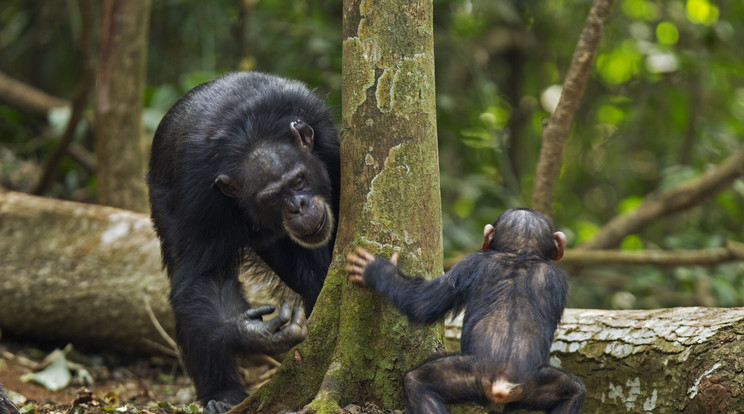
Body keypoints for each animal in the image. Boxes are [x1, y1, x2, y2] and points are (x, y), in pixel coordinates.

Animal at [147, 72, 338, 414]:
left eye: (298, 181)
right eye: (272, 198)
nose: (298, 206)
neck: (250, 133)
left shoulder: (331, 146)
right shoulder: (199, 190)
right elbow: (203, 276)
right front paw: (258, 333)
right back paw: (221, 393)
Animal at [346, 209, 584, 414]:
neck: (520, 253)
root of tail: (502, 383)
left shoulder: (467, 264)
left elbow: (421, 304)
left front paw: (375, 270)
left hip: (470, 377)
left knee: (417, 382)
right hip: (532, 385)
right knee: (574, 392)